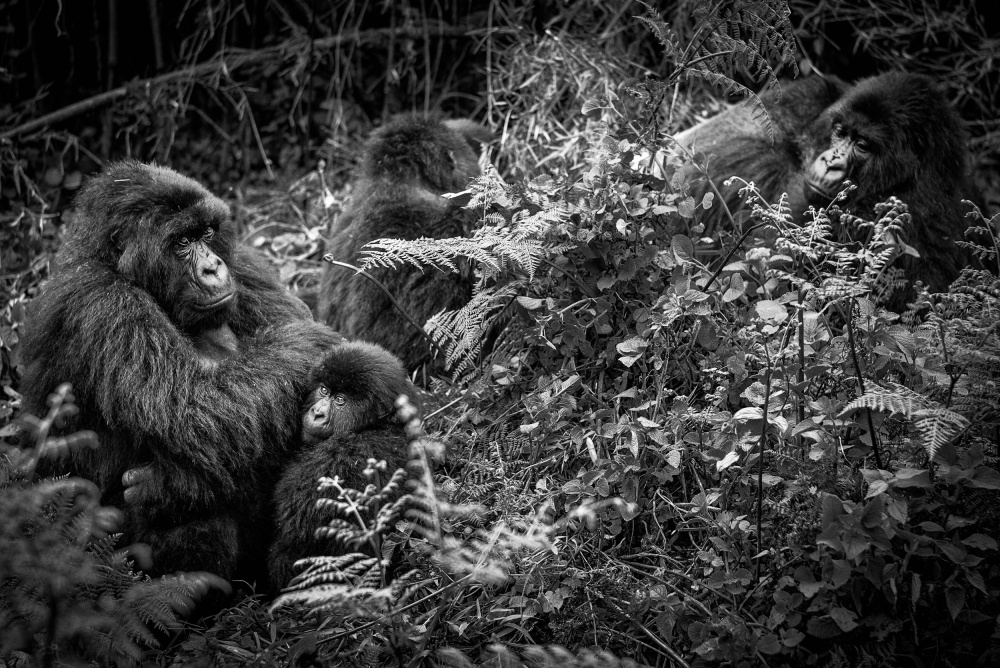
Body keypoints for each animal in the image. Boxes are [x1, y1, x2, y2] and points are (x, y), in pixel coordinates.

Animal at [21, 159, 342, 580]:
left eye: (206, 233)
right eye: (181, 243)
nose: (212, 268)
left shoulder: (243, 266)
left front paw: (166, 487)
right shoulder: (101, 304)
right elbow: (192, 411)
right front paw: (311, 342)